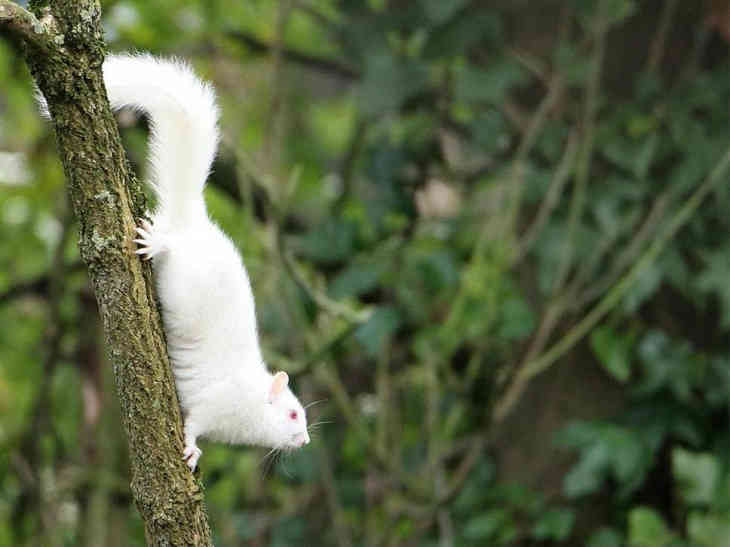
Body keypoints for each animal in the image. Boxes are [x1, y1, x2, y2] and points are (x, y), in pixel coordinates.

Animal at [93, 54, 308, 470]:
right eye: (292, 414)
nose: (305, 440)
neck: (251, 404)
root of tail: (193, 221)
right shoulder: (213, 404)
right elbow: (193, 424)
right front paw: (192, 449)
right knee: (170, 246)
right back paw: (155, 243)